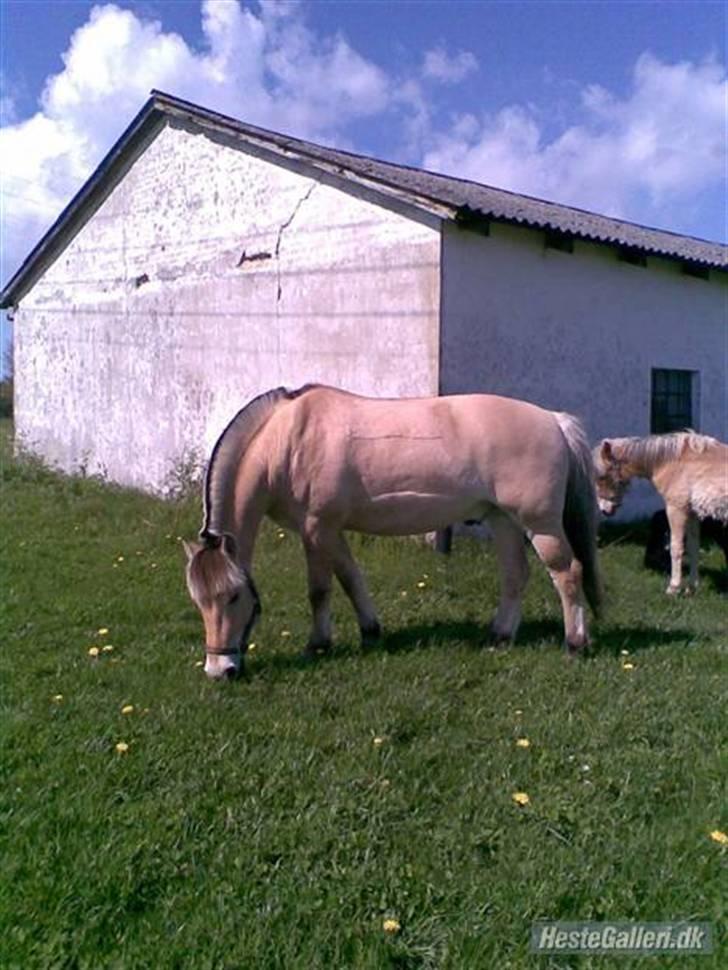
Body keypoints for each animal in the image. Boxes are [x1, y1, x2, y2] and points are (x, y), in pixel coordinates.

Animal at [183, 382, 604, 676]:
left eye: (233, 596)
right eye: (198, 600)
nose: (220, 670)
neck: (287, 441)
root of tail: (553, 419)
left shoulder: (317, 528)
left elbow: (326, 588)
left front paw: (326, 643)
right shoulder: (326, 531)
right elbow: (343, 582)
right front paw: (360, 634)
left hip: (540, 524)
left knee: (568, 574)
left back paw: (575, 644)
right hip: (503, 520)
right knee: (516, 575)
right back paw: (499, 636)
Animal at [596, 434, 724, 592]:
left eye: (601, 476)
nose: (604, 510)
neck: (676, 462)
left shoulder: (676, 509)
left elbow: (676, 548)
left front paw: (673, 587)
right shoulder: (692, 513)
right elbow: (693, 547)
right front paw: (691, 588)